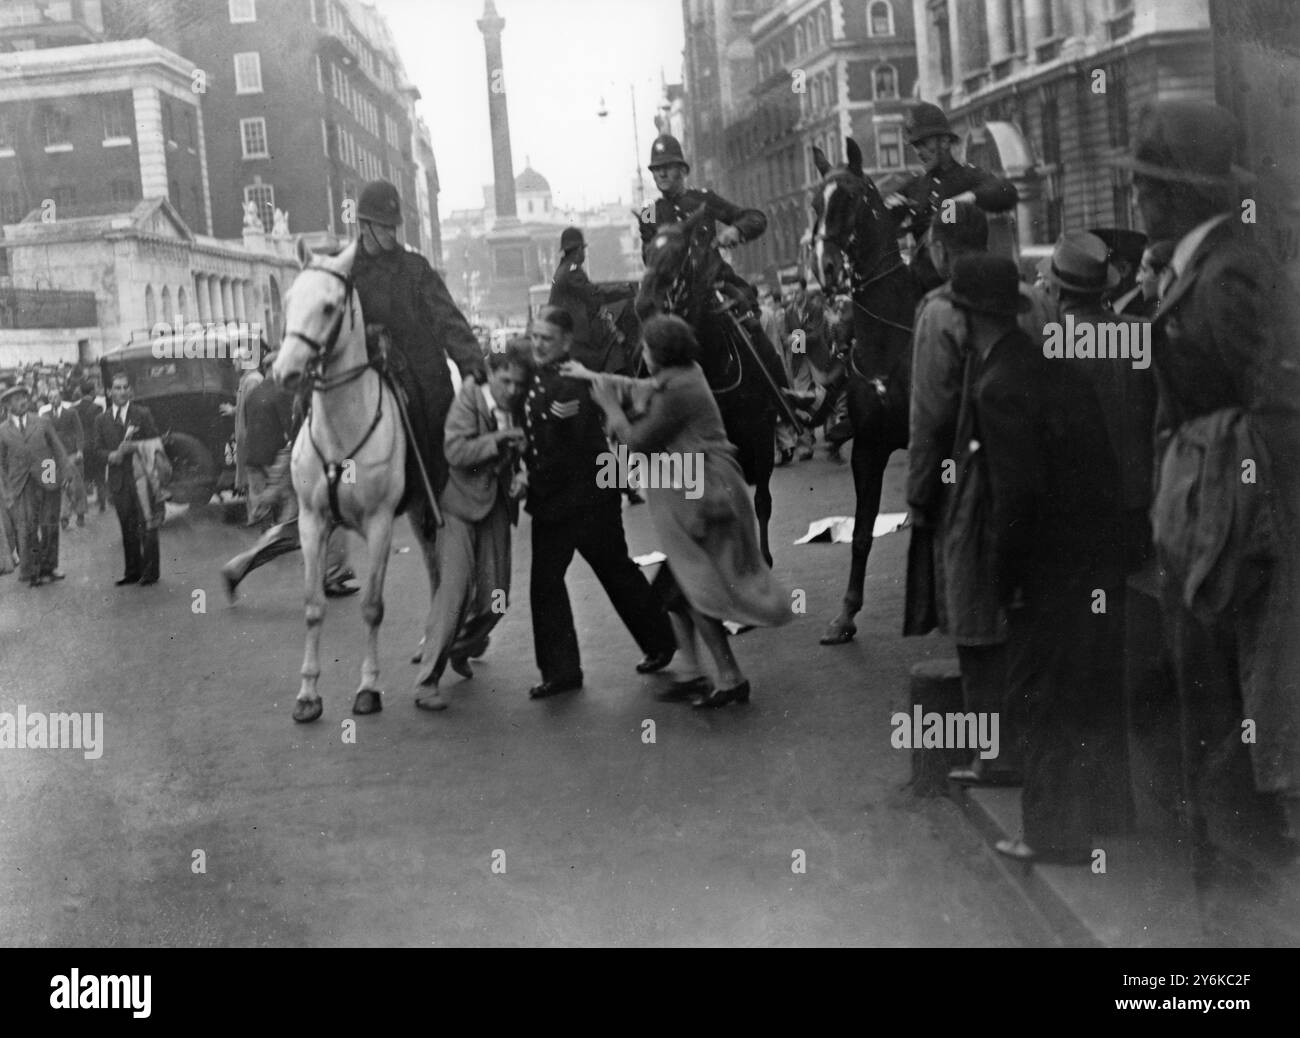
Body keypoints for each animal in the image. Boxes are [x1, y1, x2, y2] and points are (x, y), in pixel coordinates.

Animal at [271, 241, 439, 723]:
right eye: (289, 299)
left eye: (329, 307)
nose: (285, 372)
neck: (342, 425)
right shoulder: (311, 522)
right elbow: (313, 607)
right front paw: (308, 694)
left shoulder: (380, 523)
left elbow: (372, 608)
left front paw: (368, 687)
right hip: (417, 512)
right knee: (435, 566)